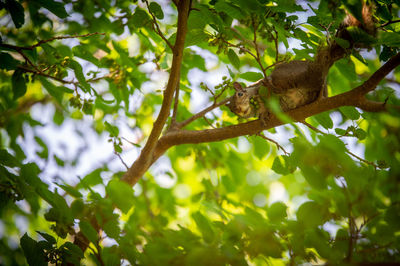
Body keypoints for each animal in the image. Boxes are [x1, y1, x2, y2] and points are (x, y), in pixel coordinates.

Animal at [228, 2, 376, 120]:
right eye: (231, 109)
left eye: (240, 94)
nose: (239, 110)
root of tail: (321, 65)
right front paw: (264, 116)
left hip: (287, 77)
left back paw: (272, 86)